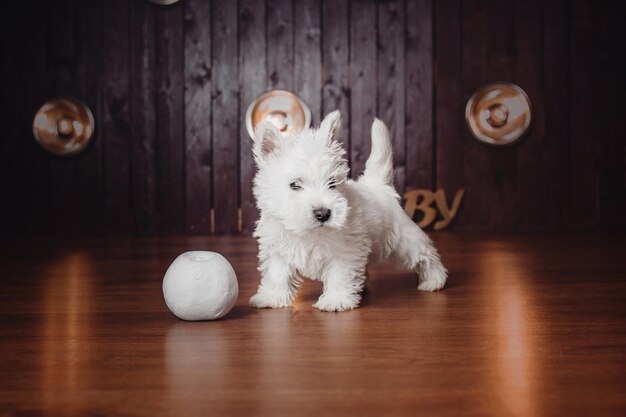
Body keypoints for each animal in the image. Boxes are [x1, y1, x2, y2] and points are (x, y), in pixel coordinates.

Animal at [247, 109, 444, 310]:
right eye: (294, 185)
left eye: (332, 183)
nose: (323, 213)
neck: (308, 232)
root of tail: (379, 185)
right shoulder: (277, 250)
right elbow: (277, 275)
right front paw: (271, 297)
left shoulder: (344, 252)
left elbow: (339, 275)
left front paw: (336, 300)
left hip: (404, 241)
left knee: (426, 255)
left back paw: (434, 280)